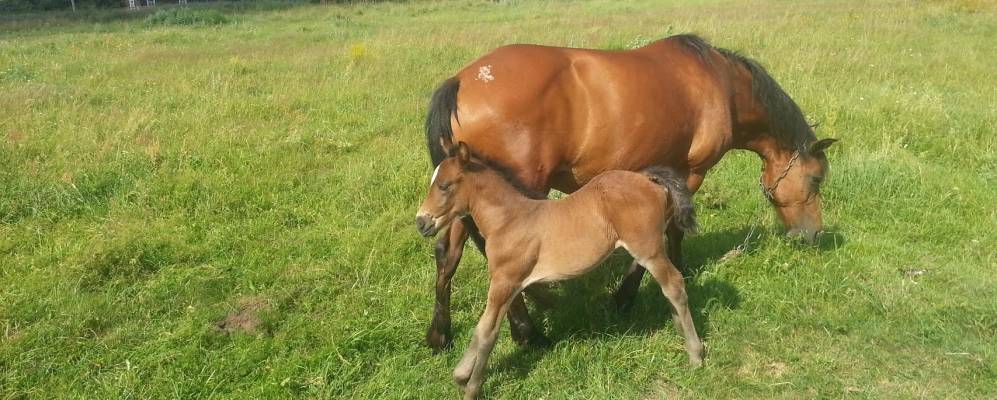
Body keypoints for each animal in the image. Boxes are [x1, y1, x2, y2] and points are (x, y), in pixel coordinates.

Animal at [416, 143, 704, 396]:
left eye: (443, 185)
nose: (421, 222)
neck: (508, 220)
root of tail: (648, 179)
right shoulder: (507, 284)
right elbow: (481, 327)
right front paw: (460, 375)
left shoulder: (505, 281)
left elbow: (488, 332)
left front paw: (471, 387)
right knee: (669, 287)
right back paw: (681, 332)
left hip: (648, 249)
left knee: (674, 284)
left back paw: (696, 354)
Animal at [424, 35, 836, 354]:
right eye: (816, 179)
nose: (814, 234)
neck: (721, 84)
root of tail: (460, 82)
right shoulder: (690, 173)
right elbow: (669, 229)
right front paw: (628, 294)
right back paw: (527, 331)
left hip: (464, 194)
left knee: (448, 254)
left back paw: (440, 334)